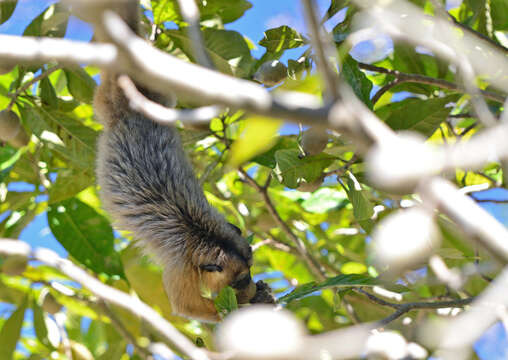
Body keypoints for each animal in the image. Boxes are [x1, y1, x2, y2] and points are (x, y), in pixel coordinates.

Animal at [91, 0, 274, 320]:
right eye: (239, 280)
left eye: (251, 271)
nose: (249, 286)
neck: (204, 236)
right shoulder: (182, 266)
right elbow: (185, 305)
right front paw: (252, 303)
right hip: (105, 101)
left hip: (157, 93)